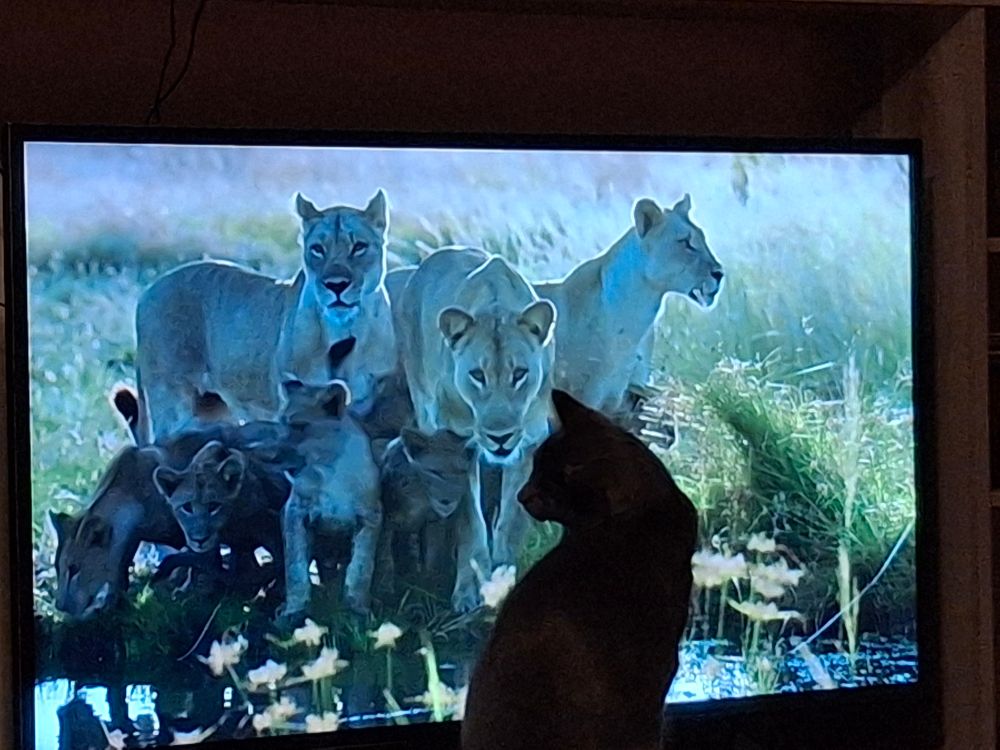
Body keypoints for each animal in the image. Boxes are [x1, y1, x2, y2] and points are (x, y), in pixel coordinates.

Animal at [132, 191, 397, 443]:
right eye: (317, 249)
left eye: (359, 247)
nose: (336, 285)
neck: (344, 329)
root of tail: (148, 290)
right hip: (172, 403)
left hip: (212, 410)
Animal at [393, 247, 556, 611]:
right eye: (477, 375)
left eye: (519, 373)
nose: (500, 438)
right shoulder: (455, 445)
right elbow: (470, 520)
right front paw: (468, 592)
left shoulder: (528, 443)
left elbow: (510, 522)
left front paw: (504, 581)